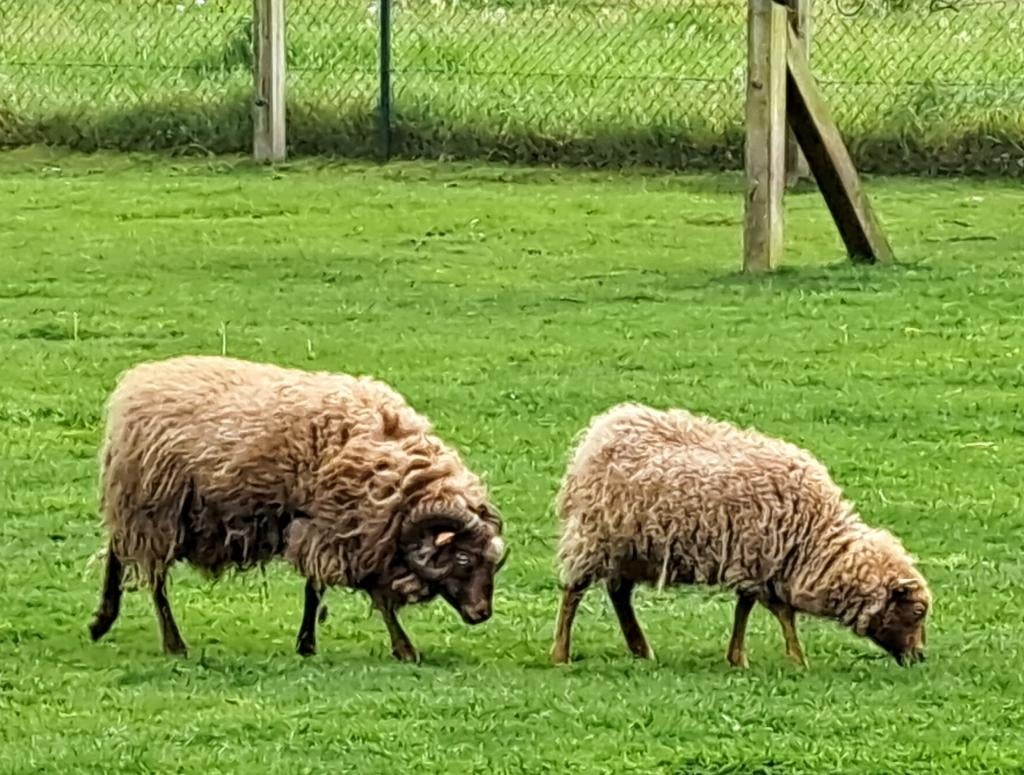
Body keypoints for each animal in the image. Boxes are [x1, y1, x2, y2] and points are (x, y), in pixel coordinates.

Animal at [88, 355, 507, 662]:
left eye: (492, 563)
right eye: (464, 559)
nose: (482, 614)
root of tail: (135, 383)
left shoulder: (336, 529)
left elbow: (315, 590)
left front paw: (306, 644)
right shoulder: (341, 530)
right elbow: (370, 595)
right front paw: (404, 648)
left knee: (118, 551)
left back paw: (101, 622)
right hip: (154, 509)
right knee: (154, 580)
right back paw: (173, 643)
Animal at [550, 402, 931, 668]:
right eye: (916, 611)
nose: (920, 657)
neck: (816, 540)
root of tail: (603, 428)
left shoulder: (757, 562)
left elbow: (747, 608)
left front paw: (739, 657)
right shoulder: (758, 559)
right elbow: (779, 613)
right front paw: (795, 660)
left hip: (631, 547)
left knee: (619, 594)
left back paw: (640, 649)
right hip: (593, 536)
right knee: (573, 592)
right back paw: (560, 653)